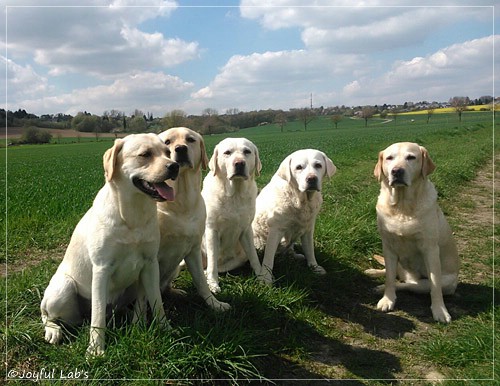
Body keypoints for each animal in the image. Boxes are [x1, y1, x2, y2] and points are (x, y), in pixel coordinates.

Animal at [41, 133, 179, 356]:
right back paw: (53, 331)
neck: (132, 217)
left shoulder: (150, 263)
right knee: (47, 314)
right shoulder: (102, 268)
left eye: (167, 152)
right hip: (62, 289)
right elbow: (97, 315)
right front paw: (96, 349)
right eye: (145, 154)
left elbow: (157, 301)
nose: (174, 166)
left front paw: (165, 330)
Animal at [202, 138, 264, 292]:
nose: (239, 163)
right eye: (227, 152)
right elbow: (212, 261)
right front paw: (213, 284)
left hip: (240, 257)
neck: (235, 194)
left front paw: (262, 277)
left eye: (247, 151)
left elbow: (254, 257)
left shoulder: (247, 230)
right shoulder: (211, 230)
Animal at [254, 149, 336, 284]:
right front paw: (265, 278)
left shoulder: (308, 229)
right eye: (299, 167)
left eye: (318, 165)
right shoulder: (275, 230)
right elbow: (268, 258)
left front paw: (314, 267)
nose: (311, 179)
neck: (301, 199)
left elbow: (310, 250)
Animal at [368, 142, 460, 322]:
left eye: (411, 157)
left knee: (409, 285)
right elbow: (389, 277)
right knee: (391, 274)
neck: (402, 207)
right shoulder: (388, 247)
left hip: (440, 282)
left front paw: (440, 311)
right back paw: (375, 274)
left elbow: (435, 286)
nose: (397, 171)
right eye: (389, 158)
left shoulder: (430, 249)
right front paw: (387, 299)